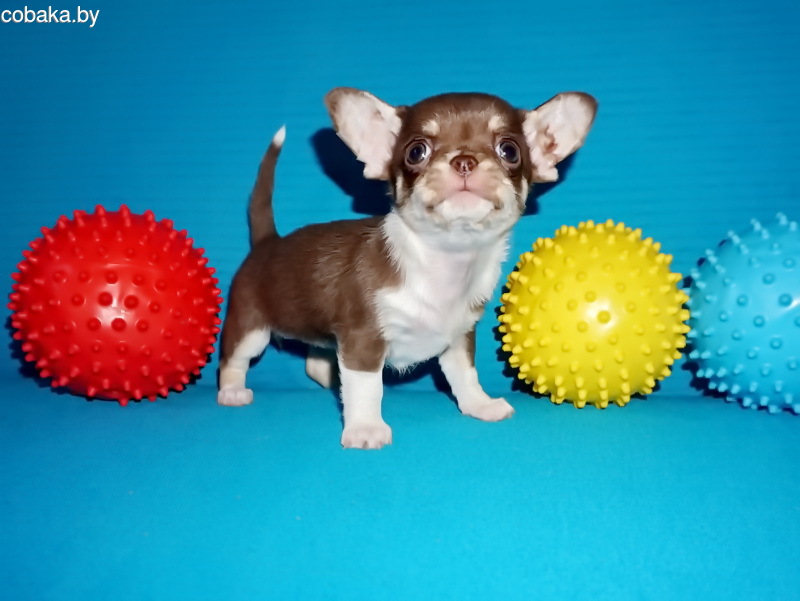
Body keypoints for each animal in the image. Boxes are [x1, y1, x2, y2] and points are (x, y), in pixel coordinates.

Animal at [217, 87, 597, 449]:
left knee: (314, 359)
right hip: (251, 328)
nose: (464, 160)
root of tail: (268, 242)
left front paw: (480, 405)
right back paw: (232, 392)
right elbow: (367, 386)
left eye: (509, 150)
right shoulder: (363, 338)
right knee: (233, 359)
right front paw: (365, 428)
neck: (447, 261)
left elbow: (465, 376)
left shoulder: (458, 338)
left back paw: (330, 379)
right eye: (417, 152)